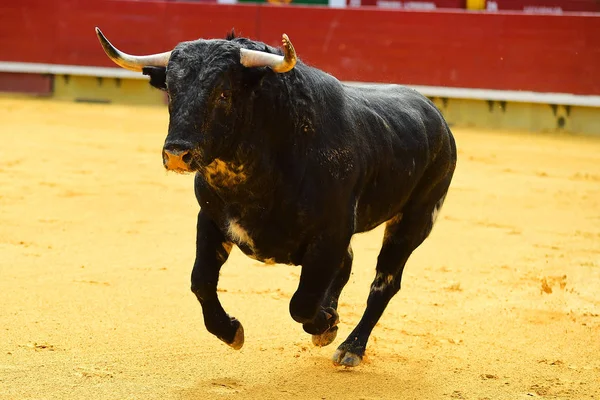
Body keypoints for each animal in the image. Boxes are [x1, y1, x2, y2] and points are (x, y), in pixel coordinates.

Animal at [96, 27, 458, 366]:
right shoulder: (211, 219)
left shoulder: (332, 232)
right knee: (348, 264)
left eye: (224, 93)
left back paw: (351, 347)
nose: (176, 154)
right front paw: (231, 331)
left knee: (383, 284)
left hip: (415, 221)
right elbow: (201, 281)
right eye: (171, 90)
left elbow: (302, 302)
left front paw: (327, 324)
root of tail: (436, 116)